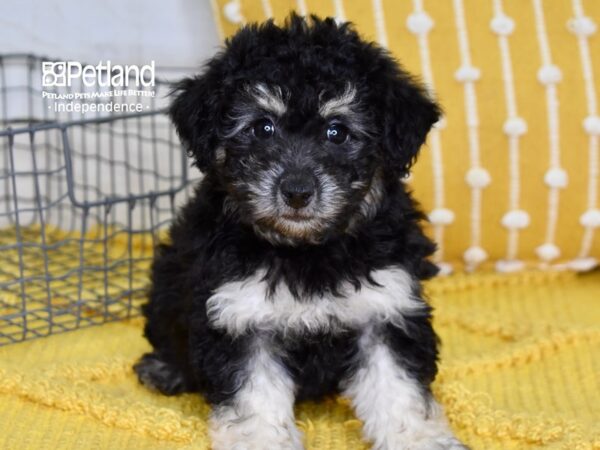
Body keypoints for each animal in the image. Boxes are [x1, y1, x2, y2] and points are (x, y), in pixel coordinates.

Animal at [134, 14, 466, 450]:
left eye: (337, 132)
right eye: (263, 128)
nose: (296, 191)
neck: (307, 250)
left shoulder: (387, 308)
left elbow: (398, 387)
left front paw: (418, 438)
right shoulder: (240, 315)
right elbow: (254, 396)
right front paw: (259, 440)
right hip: (169, 278)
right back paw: (166, 368)